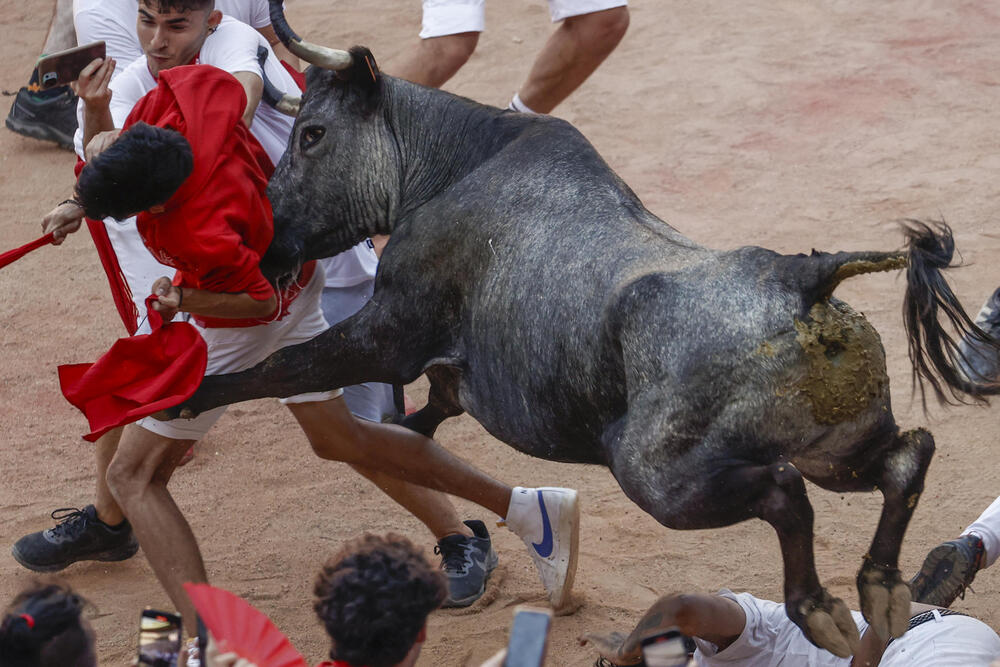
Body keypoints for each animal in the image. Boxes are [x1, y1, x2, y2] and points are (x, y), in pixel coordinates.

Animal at [170, 3, 1000, 656]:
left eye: (311, 134)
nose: (270, 248)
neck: (448, 163)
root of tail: (803, 277)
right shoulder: (438, 363)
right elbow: (424, 414)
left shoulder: (387, 332)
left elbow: (283, 368)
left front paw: (187, 394)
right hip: (839, 448)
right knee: (906, 455)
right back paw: (883, 588)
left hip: (658, 474)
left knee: (786, 490)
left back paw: (824, 608)